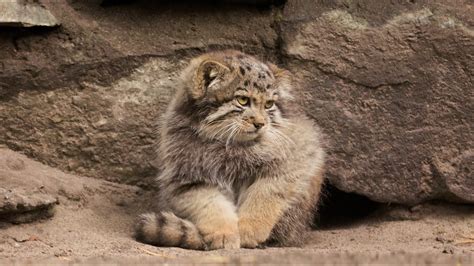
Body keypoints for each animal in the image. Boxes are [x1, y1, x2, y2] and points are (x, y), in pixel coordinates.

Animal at [135, 50, 324, 249]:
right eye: (243, 100)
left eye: (268, 104)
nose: (261, 124)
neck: (229, 145)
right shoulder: (187, 179)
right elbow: (211, 205)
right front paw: (224, 233)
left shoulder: (298, 156)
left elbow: (264, 194)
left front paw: (249, 229)